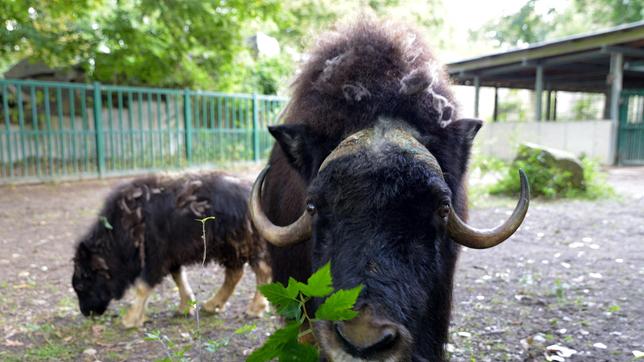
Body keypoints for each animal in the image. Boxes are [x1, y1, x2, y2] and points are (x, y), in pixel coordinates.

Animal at [71, 172, 270, 328]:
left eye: (81, 284)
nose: (86, 312)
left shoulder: (155, 257)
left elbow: (143, 286)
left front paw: (130, 319)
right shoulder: (172, 256)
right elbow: (178, 278)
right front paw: (185, 307)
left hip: (246, 243)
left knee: (261, 271)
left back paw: (255, 309)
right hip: (229, 248)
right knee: (234, 274)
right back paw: (211, 305)